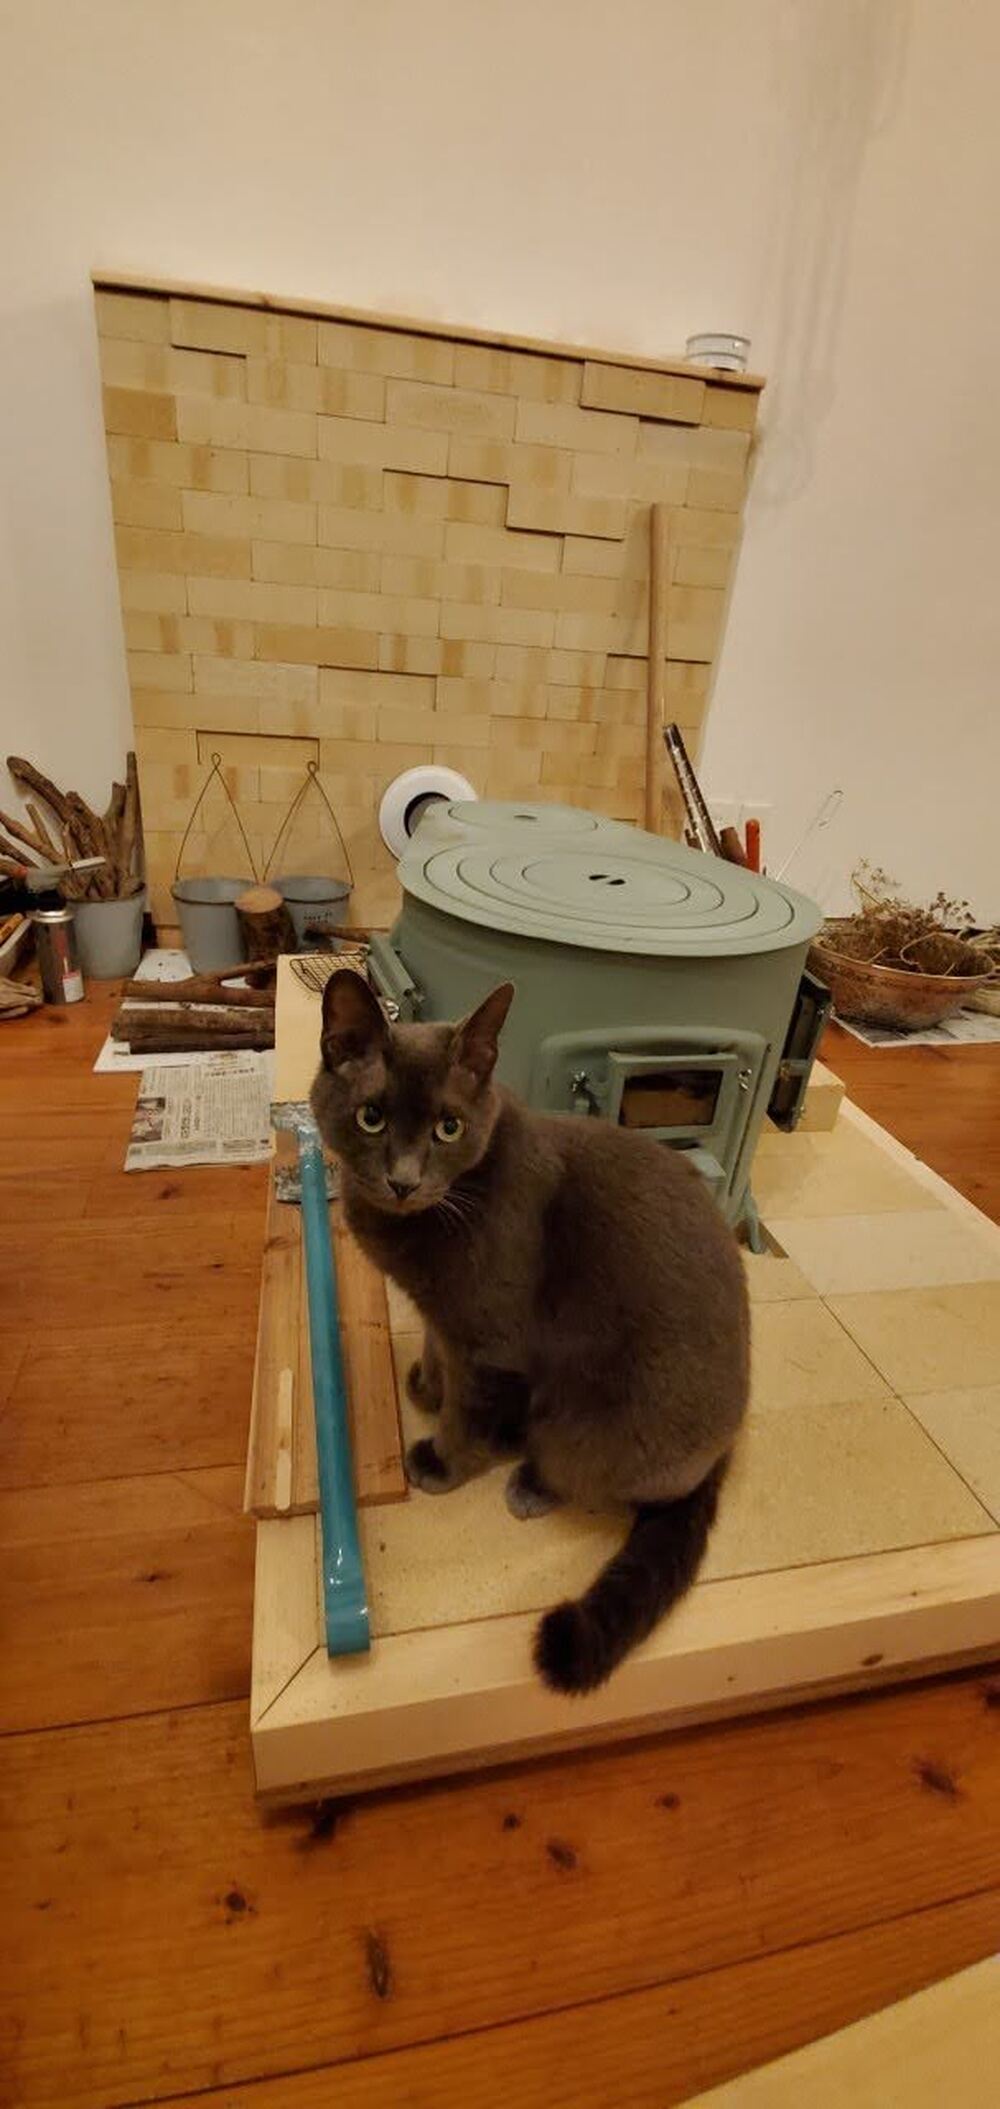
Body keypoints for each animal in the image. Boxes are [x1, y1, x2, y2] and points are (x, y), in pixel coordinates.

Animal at [311, 969, 750, 1694]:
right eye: (371, 1116)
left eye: (449, 1126)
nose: (404, 1181)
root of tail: (722, 1450)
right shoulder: (446, 1318)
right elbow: (437, 1349)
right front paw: (425, 1386)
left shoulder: (491, 1341)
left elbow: (468, 1411)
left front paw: (441, 1458)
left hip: (594, 1425)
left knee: (585, 1469)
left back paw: (529, 1481)